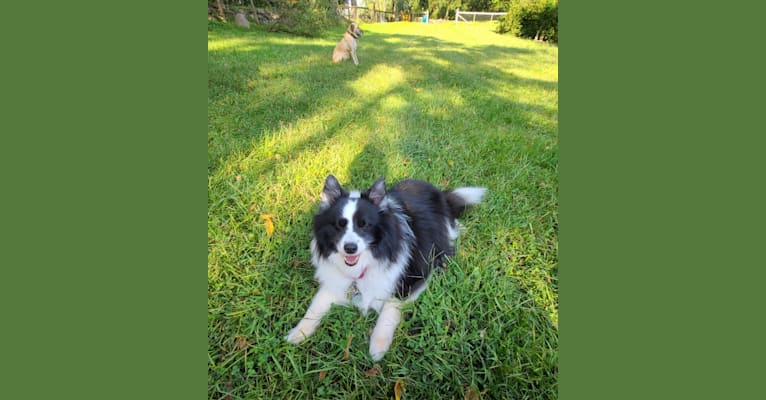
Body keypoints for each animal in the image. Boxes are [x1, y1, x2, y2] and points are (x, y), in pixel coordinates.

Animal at [288, 174, 486, 360]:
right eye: (339, 225)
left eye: (364, 225)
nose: (350, 248)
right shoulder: (335, 282)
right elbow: (316, 305)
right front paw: (299, 331)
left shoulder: (412, 278)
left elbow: (389, 310)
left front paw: (378, 345)